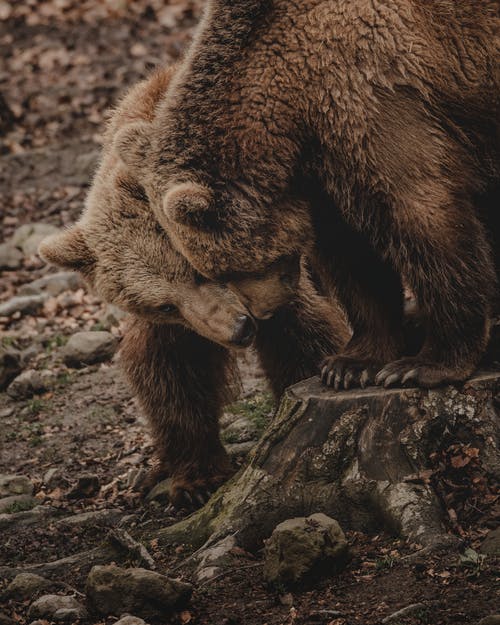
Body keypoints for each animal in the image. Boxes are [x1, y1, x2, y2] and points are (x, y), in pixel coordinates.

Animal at [39, 67, 348, 508]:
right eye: (164, 305)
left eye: (201, 272)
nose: (239, 329)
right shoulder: (181, 323)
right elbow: (171, 373)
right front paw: (196, 480)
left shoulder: (272, 274)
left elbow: (302, 336)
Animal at [116, 0, 500, 390]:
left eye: (220, 272)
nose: (262, 314)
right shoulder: (323, 171)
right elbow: (351, 255)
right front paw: (350, 365)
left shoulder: (372, 104)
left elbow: (423, 217)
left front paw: (422, 364)